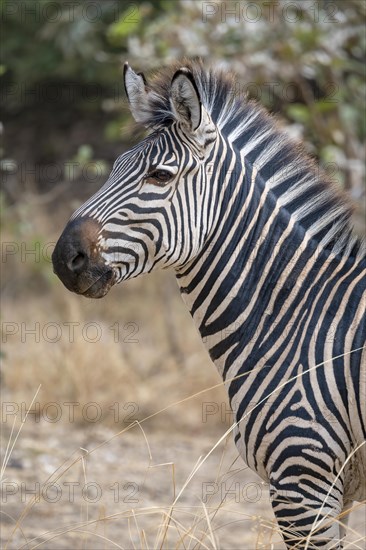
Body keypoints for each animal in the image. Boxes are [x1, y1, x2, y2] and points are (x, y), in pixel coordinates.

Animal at [50, 58, 364, 548]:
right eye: (115, 167)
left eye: (160, 175)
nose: (65, 258)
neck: (300, 317)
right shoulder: (334, 488)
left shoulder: (303, 483)